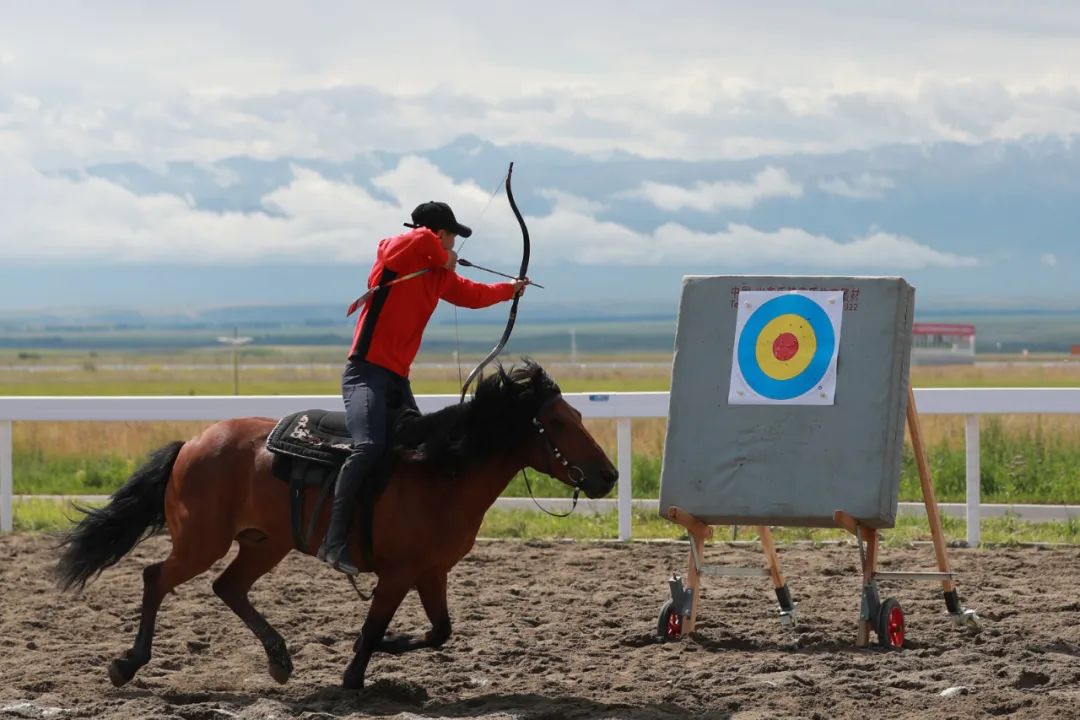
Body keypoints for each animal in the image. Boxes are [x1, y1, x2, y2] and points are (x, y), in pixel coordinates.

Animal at [54, 362, 622, 690]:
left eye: (576, 415)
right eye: (558, 422)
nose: (609, 476)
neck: (442, 468)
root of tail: (193, 443)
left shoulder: (432, 572)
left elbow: (440, 631)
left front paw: (389, 650)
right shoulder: (397, 575)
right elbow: (374, 627)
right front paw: (354, 675)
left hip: (265, 543)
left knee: (228, 587)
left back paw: (280, 660)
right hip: (202, 540)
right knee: (156, 578)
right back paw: (127, 664)